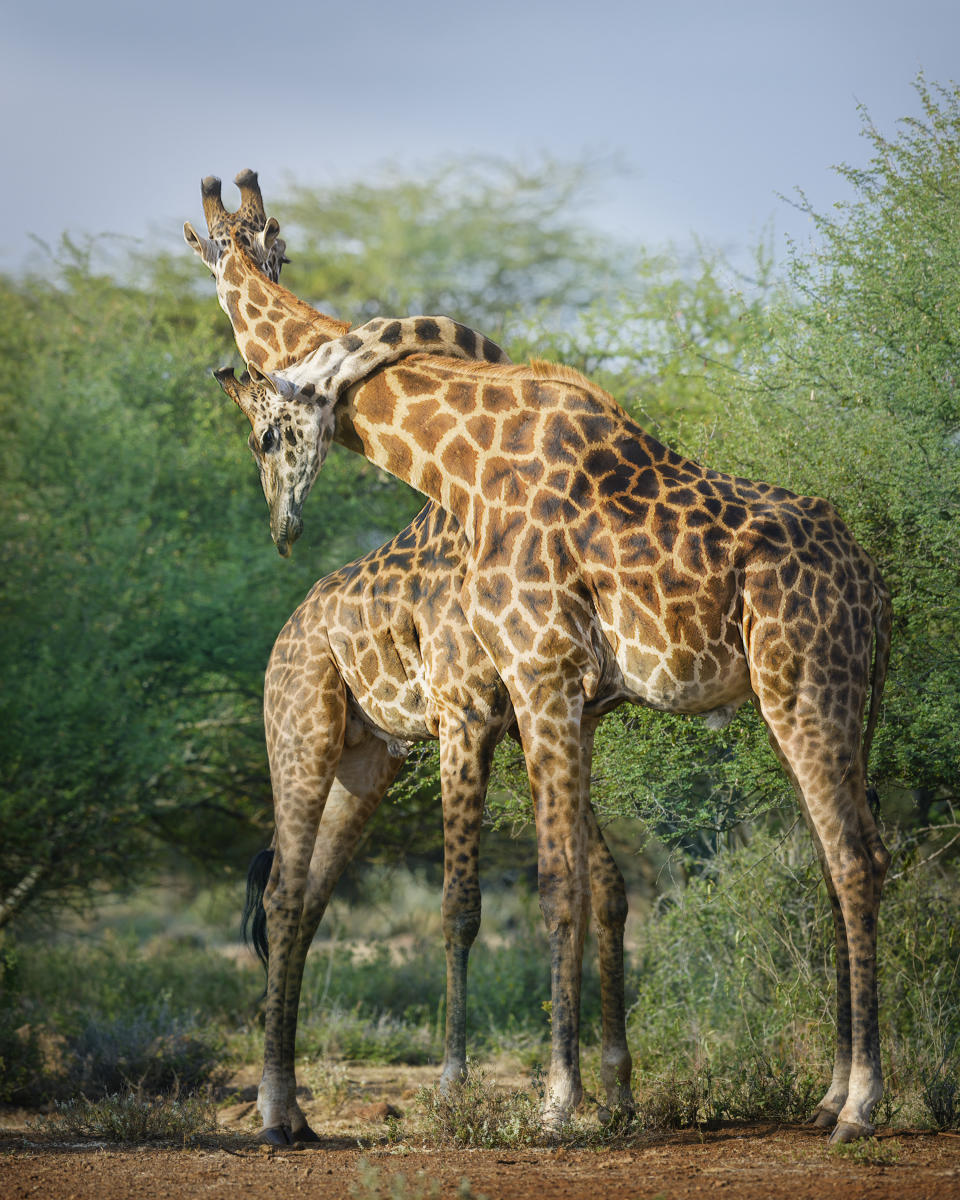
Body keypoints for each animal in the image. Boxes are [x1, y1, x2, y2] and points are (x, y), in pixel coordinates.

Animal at [188, 177, 638, 1142]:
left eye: (275, 241)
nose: (281, 526)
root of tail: (286, 634)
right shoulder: (470, 712)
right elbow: (463, 906)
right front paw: (456, 1086)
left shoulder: (538, 713)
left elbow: (602, 889)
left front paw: (611, 1090)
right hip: (302, 736)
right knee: (283, 897)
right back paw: (274, 1112)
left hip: (369, 761)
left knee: (305, 898)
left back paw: (295, 1111)